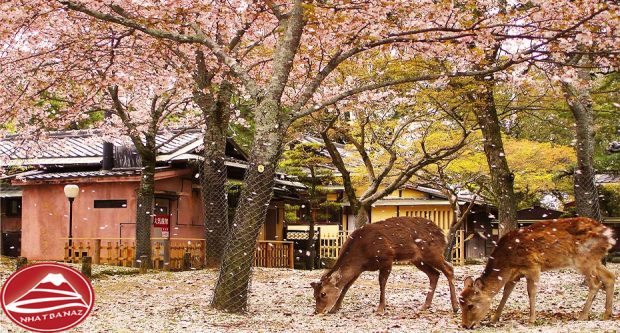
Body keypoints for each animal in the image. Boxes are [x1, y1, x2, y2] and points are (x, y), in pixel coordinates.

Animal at [310, 215, 460, 314]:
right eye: (314, 294)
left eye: (323, 294)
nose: (318, 311)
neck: (361, 255)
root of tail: (443, 234)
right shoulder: (359, 269)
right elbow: (346, 286)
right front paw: (335, 308)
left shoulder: (387, 258)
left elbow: (382, 283)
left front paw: (381, 308)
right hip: (417, 260)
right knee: (435, 274)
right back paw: (425, 306)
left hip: (432, 252)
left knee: (449, 269)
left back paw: (455, 306)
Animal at [460, 217, 616, 328]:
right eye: (461, 303)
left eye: (470, 305)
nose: (465, 325)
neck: (507, 262)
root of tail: (609, 234)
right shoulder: (514, 275)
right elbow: (506, 293)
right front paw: (494, 319)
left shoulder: (532, 265)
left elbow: (531, 292)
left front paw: (531, 319)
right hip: (594, 260)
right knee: (610, 277)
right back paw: (606, 314)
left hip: (583, 259)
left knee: (595, 283)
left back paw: (582, 316)